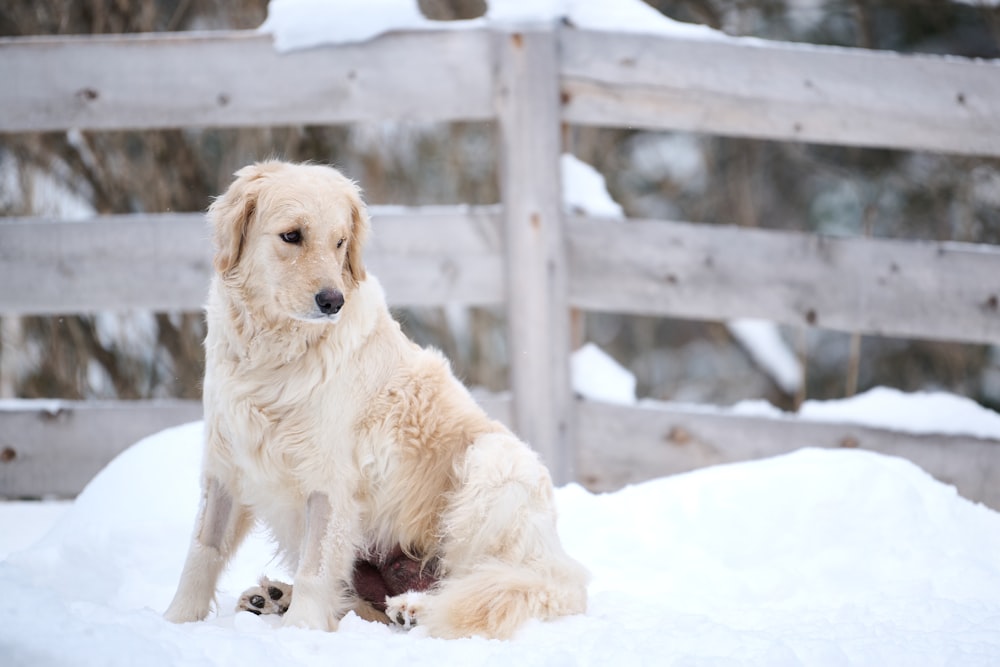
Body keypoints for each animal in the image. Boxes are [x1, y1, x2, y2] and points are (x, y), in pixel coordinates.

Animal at [162, 159, 584, 640]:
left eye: (340, 241)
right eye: (292, 235)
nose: (333, 301)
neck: (273, 354)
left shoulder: (329, 481)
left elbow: (315, 567)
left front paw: (301, 632)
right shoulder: (225, 466)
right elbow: (202, 552)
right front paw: (176, 621)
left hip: (493, 467)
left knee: (481, 579)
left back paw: (414, 607)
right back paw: (272, 597)